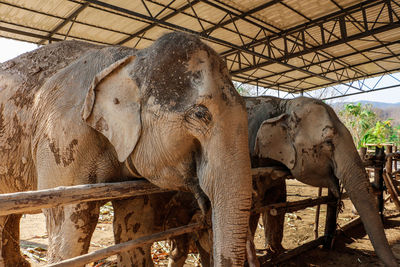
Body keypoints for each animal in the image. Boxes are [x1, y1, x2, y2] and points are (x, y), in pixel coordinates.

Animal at [0, 31, 252, 267]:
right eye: (201, 114)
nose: (204, 214)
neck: (131, 58)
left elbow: (134, 228)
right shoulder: (63, 135)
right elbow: (70, 231)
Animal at [119, 96, 396, 267]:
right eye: (328, 142)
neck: (282, 106)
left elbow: (277, 201)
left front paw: (278, 252)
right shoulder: (244, 155)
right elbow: (248, 210)